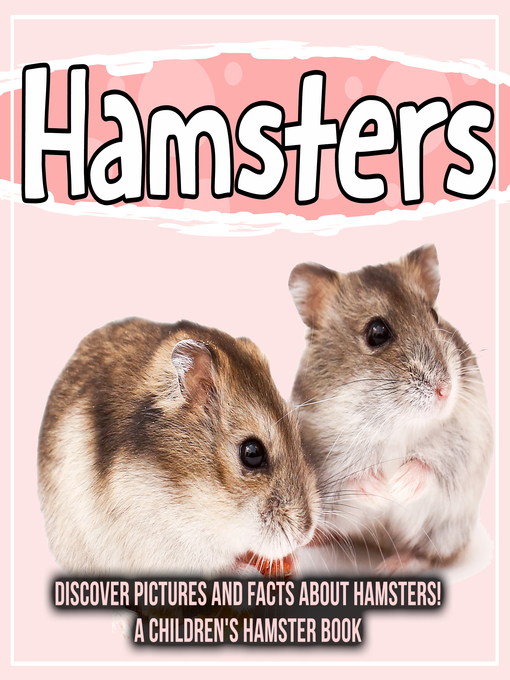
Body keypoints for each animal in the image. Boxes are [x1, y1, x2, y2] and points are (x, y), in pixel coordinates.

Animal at [289, 245, 493, 573]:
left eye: (435, 315)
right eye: (377, 332)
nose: (445, 391)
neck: (396, 422)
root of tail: (380, 545)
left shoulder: (464, 444)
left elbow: (429, 465)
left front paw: (397, 486)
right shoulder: (325, 467)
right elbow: (352, 479)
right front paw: (382, 488)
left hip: (448, 530)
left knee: (430, 554)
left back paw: (393, 565)